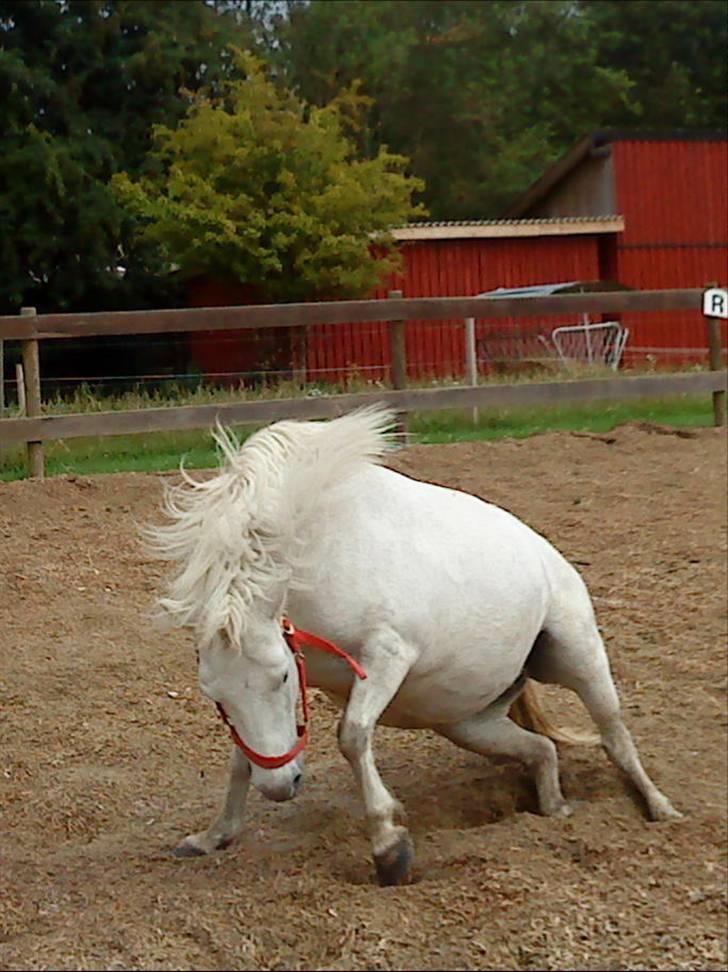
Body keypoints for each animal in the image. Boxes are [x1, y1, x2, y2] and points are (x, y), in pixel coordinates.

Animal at [145, 406, 680, 884]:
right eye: (214, 695)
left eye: (280, 677)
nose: (279, 787)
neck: (314, 553)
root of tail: (549, 556)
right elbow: (242, 756)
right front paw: (214, 836)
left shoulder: (387, 655)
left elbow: (353, 735)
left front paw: (389, 846)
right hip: (468, 722)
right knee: (542, 749)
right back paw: (555, 808)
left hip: (577, 656)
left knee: (614, 735)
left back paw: (660, 807)